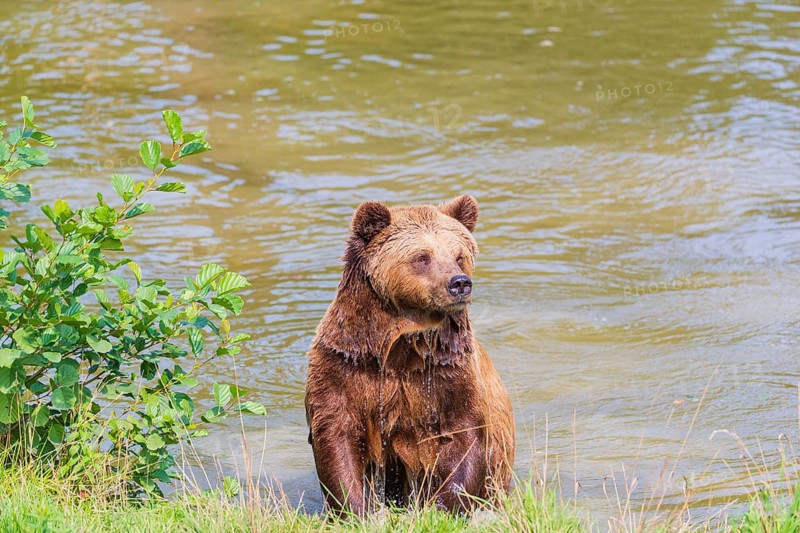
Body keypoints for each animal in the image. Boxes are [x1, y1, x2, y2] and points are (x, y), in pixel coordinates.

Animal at [305, 194, 515, 516]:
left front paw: (442, 508)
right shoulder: (344, 366)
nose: (459, 283)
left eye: (459, 255)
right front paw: (357, 511)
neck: (400, 351)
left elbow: (466, 432)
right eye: (422, 257)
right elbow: (338, 437)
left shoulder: (449, 371)